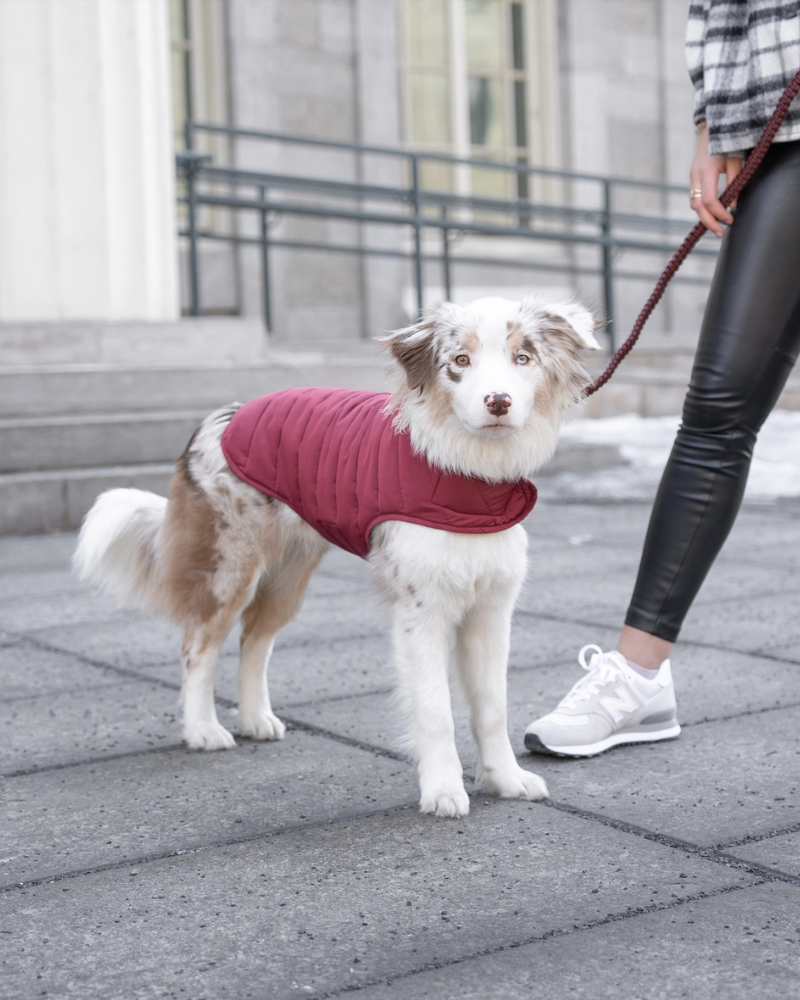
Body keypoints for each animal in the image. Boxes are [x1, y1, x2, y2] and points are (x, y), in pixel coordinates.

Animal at [76, 292, 600, 816]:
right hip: (232, 566)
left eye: (523, 359)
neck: (468, 476)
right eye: (460, 361)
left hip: (290, 574)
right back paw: (203, 729)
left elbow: (492, 705)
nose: (498, 401)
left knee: (254, 639)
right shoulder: (420, 609)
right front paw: (443, 791)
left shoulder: (491, 607)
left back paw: (255, 719)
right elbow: (435, 709)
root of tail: (222, 416)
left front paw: (505, 779)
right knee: (198, 646)